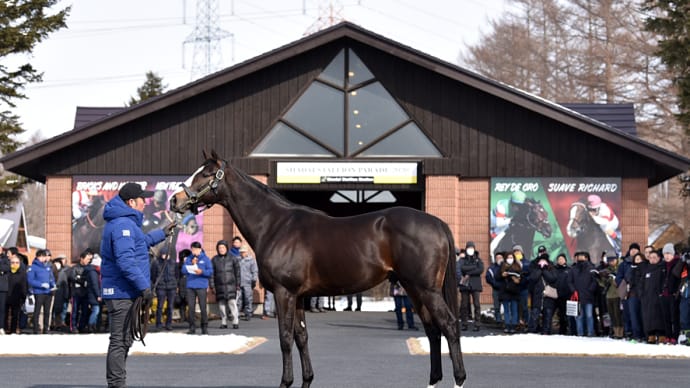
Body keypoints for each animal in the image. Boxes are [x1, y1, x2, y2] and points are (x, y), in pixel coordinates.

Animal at [169, 151, 464, 388]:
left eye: (206, 174)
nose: (174, 200)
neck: (275, 225)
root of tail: (438, 223)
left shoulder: (284, 293)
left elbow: (285, 337)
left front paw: (286, 382)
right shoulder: (299, 296)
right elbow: (302, 337)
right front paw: (306, 380)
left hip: (426, 289)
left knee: (449, 326)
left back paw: (459, 379)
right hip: (414, 288)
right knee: (433, 329)